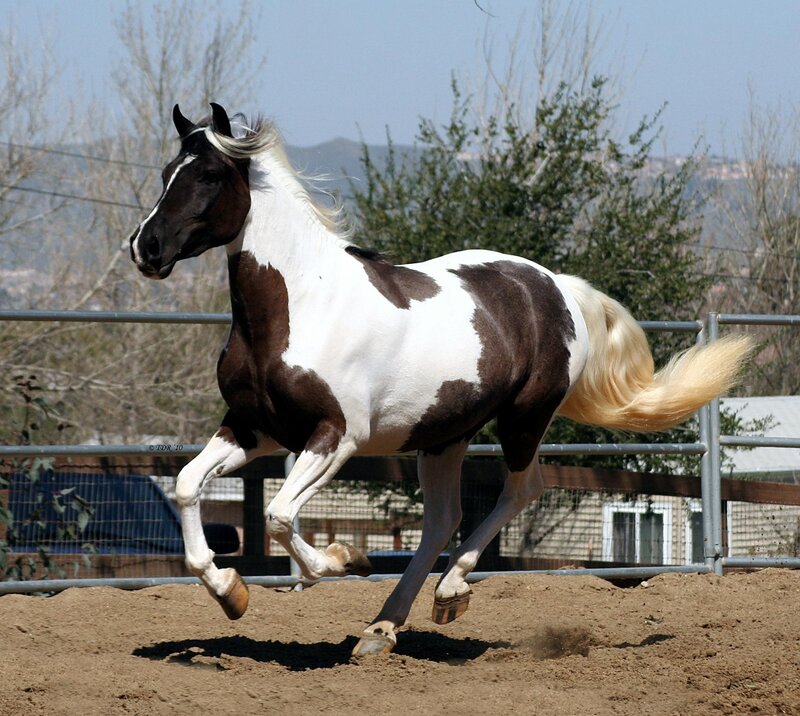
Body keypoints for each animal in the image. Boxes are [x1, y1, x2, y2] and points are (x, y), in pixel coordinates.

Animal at [129, 103, 752, 657]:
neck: (298, 306)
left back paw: (449, 592)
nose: (145, 247)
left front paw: (339, 560)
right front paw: (229, 592)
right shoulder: (253, 429)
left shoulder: (337, 436)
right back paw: (382, 629)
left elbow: (279, 516)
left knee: (520, 491)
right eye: (167, 172)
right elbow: (187, 484)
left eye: (210, 175)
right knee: (442, 520)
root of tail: (556, 287)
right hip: (443, 435)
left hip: (522, 420)